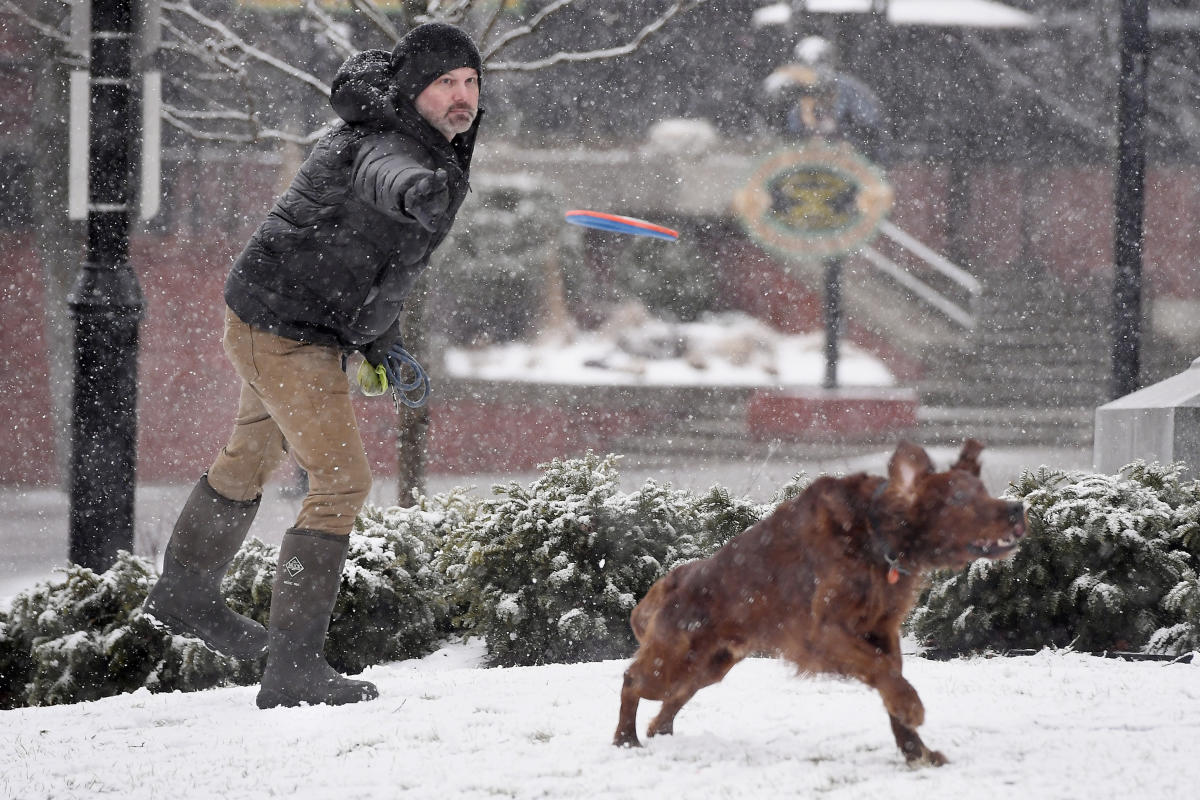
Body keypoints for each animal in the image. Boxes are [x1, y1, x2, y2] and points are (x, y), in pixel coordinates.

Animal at [614, 441, 1027, 767]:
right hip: (674, 660)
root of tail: (671, 580)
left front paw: (916, 752)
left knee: (673, 697)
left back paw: (659, 730)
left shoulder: (882, 630)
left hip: (709, 666)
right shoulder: (823, 631)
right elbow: (883, 671)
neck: (875, 537)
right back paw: (625, 740)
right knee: (633, 680)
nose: (1017, 509)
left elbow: (890, 674)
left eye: (985, 491)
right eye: (960, 499)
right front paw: (911, 707)